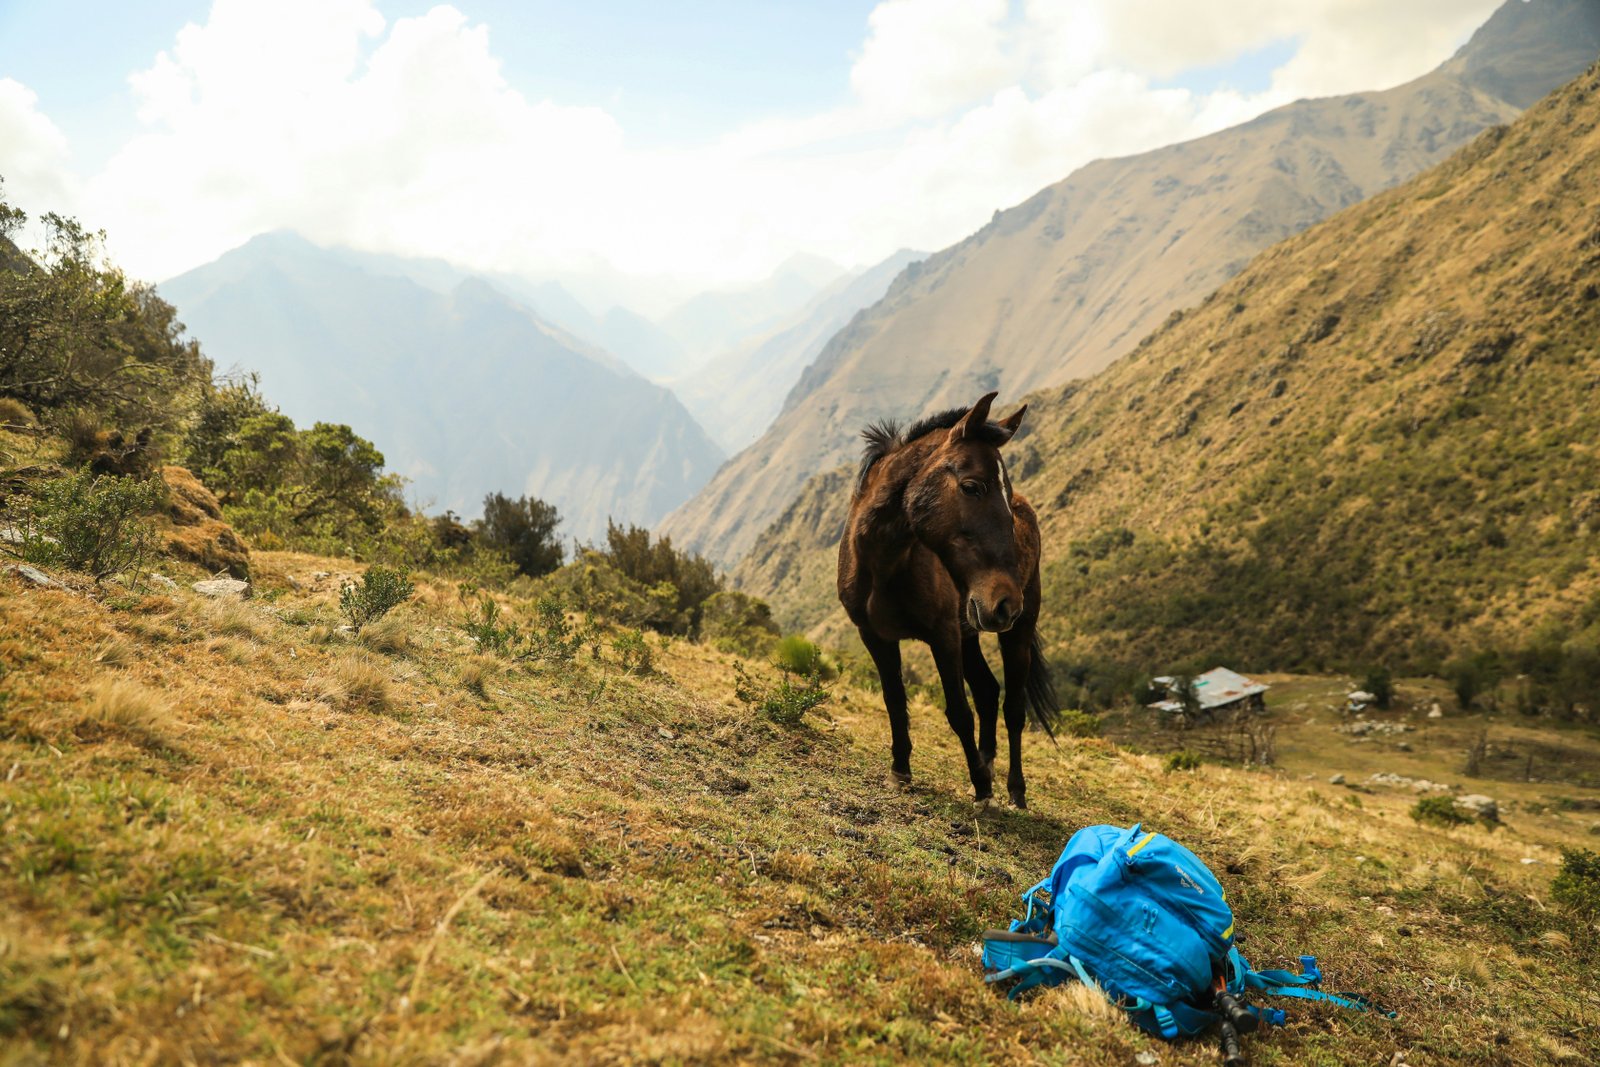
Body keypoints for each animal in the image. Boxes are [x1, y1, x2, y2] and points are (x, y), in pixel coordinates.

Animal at [838, 391, 1059, 808]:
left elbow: (958, 711)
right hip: (971, 630)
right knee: (988, 692)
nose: (1006, 602)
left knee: (1013, 707)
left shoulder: (942, 637)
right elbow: (894, 700)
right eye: (972, 487)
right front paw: (900, 771)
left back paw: (1015, 791)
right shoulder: (875, 636)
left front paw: (982, 787)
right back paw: (988, 764)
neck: (886, 564)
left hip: (1015, 632)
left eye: (1004, 495)